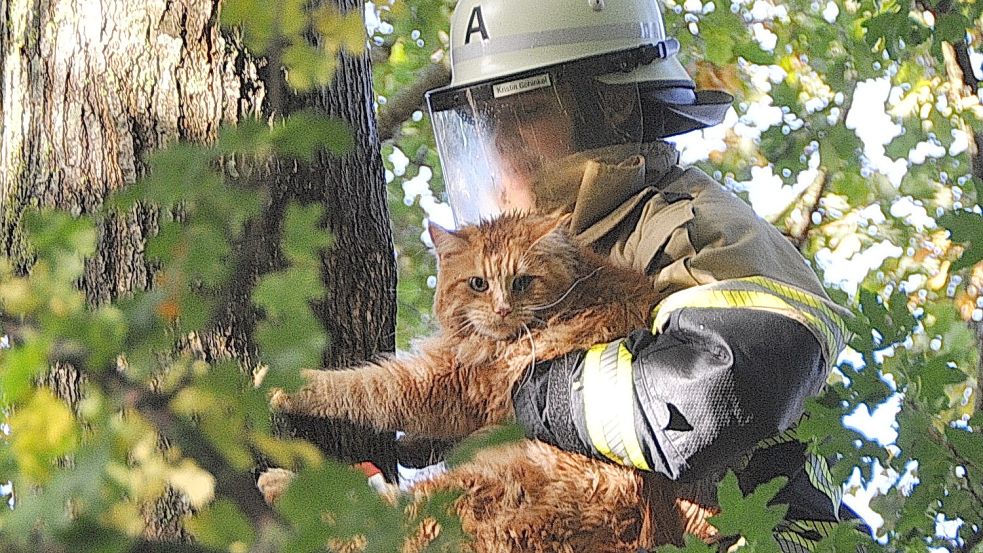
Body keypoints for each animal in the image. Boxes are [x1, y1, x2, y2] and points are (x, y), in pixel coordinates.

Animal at [266, 212, 720, 552]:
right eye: (478, 284)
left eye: (522, 282)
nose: (502, 309)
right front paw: (411, 446)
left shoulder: (442, 382)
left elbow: (362, 388)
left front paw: (285, 386)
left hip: (475, 493)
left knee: (384, 526)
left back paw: (285, 488)